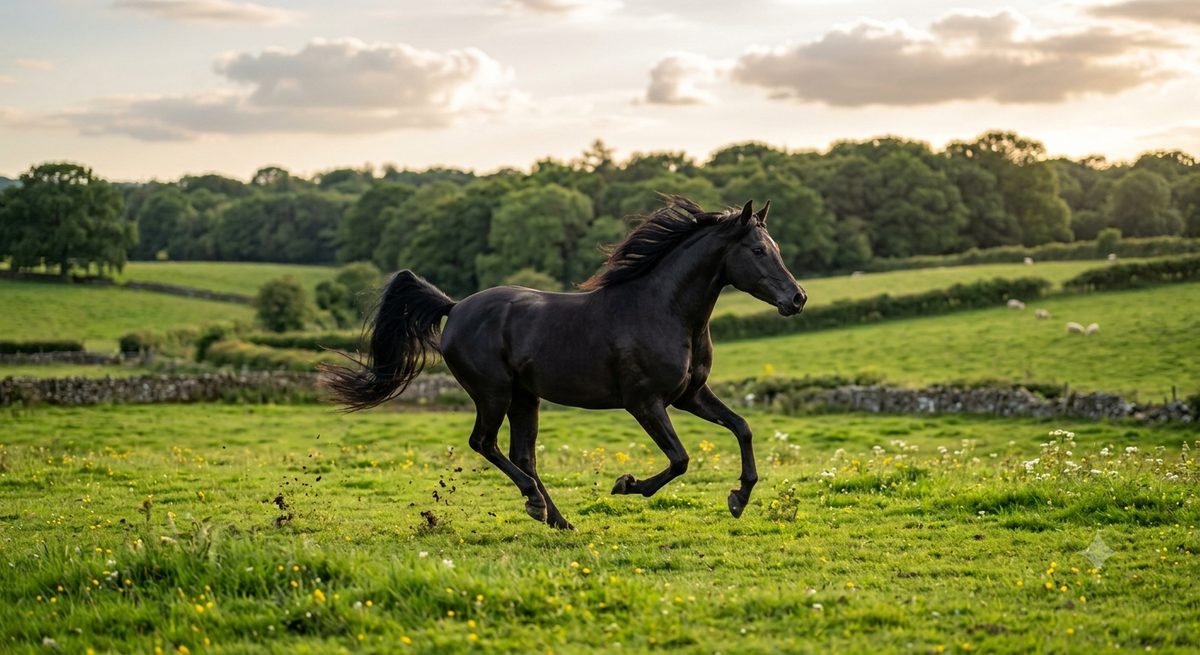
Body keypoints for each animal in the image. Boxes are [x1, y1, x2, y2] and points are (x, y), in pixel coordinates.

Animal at [322, 196, 806, 529]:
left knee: (523, 455)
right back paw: (537, 505)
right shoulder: (645, 402)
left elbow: (742, 427)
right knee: (485, 443)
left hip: (525, 397)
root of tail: (455, 307)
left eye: (777, 247)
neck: (663, 310)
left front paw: (738, 498)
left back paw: (556, 519)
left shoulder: (690, 394)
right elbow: (681, 459)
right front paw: (626, 485)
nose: (797, 298)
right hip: (494, 393)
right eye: (758, 251)